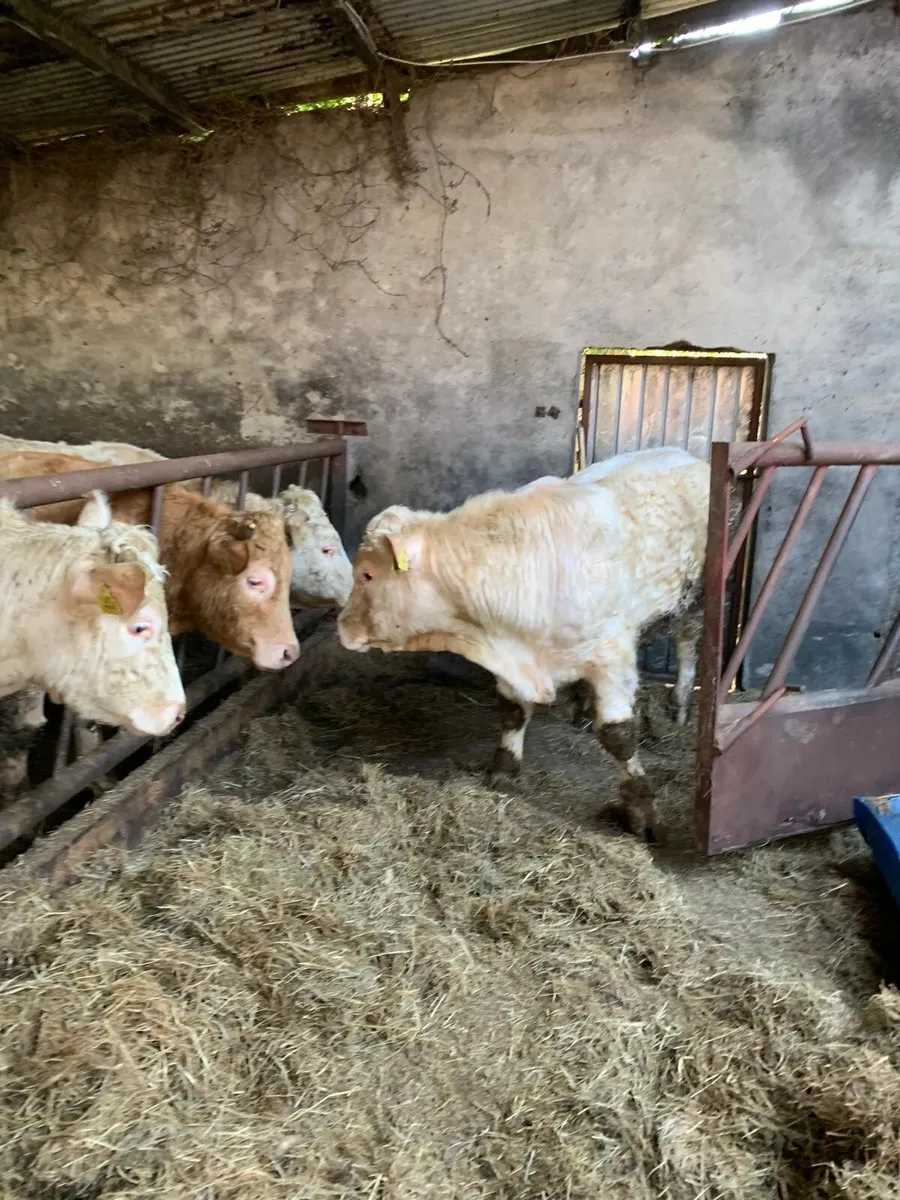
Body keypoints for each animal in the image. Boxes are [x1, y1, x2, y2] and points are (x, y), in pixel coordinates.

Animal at [337, 446, 710, 842]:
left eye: (366, 574)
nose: (342, 626)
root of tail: (680, 452)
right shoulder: (507, 652)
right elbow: (512, 712)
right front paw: (504, 769)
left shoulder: (613, 656)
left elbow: (619, 735)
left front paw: (641, 810)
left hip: (697, 599)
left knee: (687, 643)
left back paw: (679, 705)